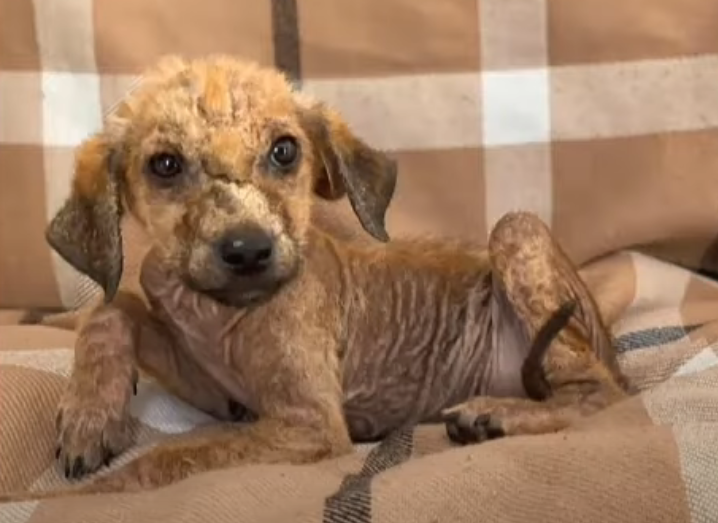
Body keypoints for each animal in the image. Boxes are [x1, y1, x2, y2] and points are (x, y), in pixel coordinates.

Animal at [0, 55, 632, 502]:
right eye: (165, 165)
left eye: (285, 151)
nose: (249, 251)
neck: (221, 310)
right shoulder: (219, 393)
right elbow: (113, 305)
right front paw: (90, 412)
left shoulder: (308, 424)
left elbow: (165, 461)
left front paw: (70, 491)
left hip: (517, 233)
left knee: (601, 392)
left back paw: (497, 414)